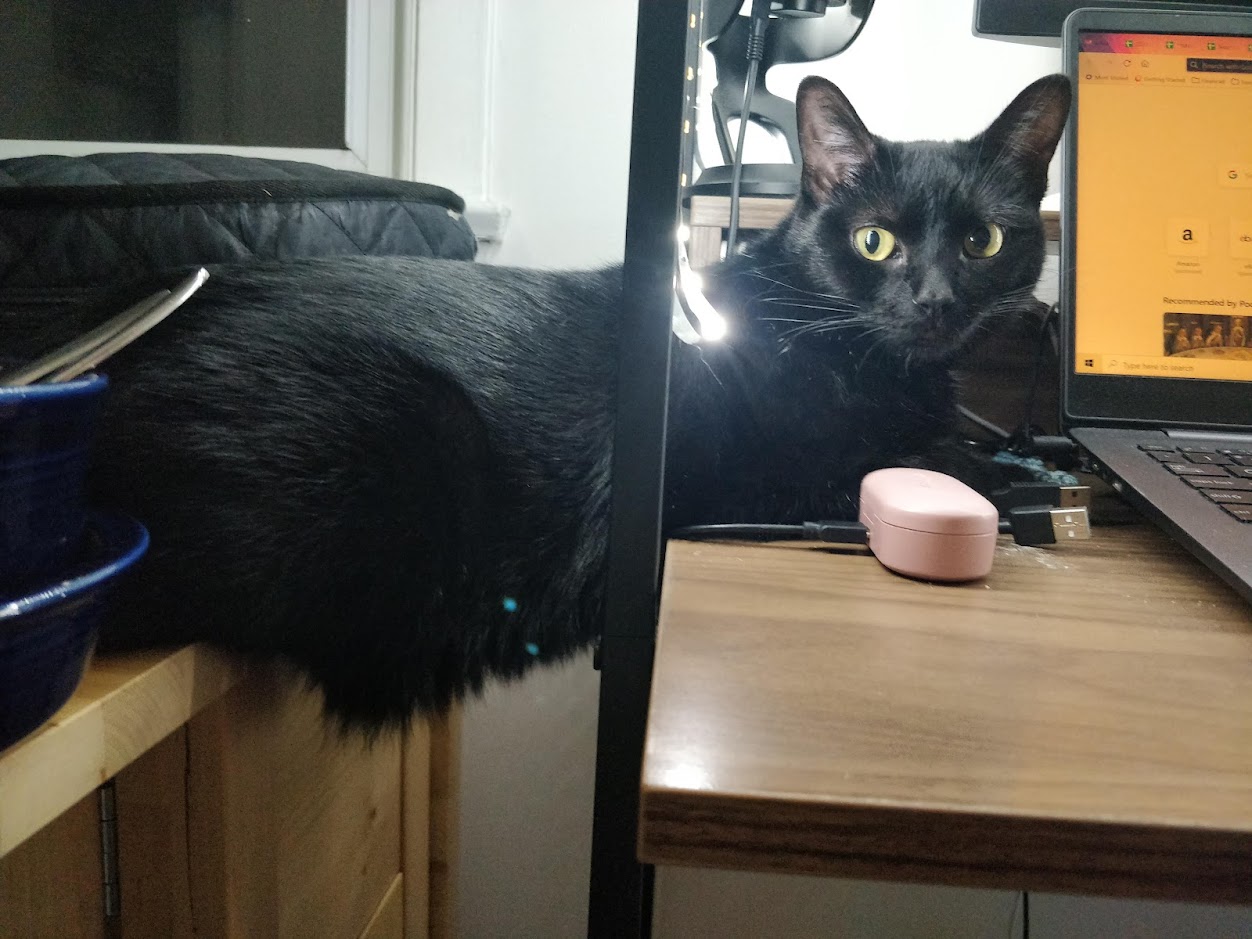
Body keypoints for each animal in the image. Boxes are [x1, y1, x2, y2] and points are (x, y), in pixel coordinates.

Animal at [10, 74, 1071, 729]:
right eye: (875, 242)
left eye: (982, 241)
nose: (934, 302)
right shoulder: (706, 484)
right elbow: (894, 464)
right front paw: (1011, 482)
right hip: (402, 432)